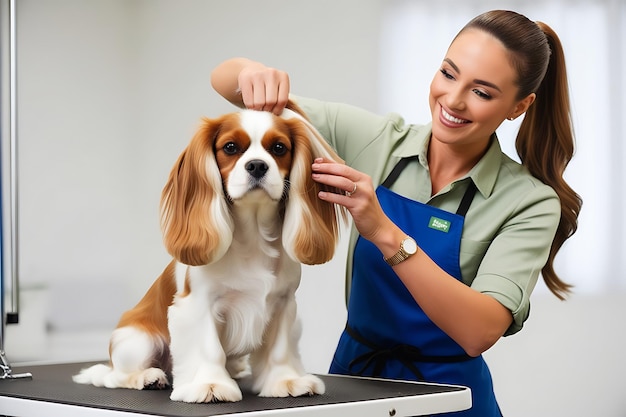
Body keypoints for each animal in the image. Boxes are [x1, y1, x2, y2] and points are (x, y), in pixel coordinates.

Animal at [75, 101, 346, 404]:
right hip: (137, 341)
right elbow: (209, 348)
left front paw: (286, 381)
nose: (257, 165)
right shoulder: (198, 305)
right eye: (230, 147)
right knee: (114, 377)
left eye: (278, 148)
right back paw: (148, 377)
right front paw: (211, 385)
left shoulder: (284, 304)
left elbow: (279, 350)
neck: (252, 234)